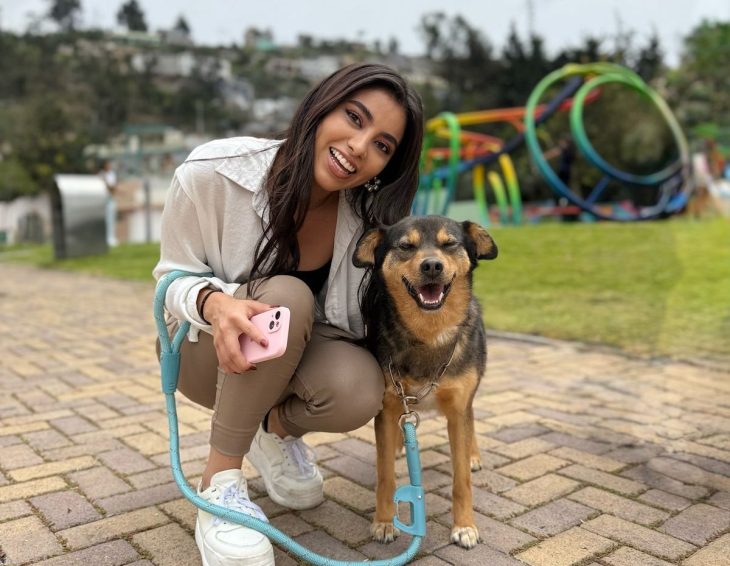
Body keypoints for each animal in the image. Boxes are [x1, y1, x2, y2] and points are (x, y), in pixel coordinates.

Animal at [353, 215, 498, 549]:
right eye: (406, 246)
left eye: (450, 244)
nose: (432, 265)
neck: (430, 334)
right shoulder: (389, 405)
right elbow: (385, 476)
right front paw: (384, 521)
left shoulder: (458, 407)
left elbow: (461, 479)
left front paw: (464, 526)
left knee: (472, 422)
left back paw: (473, 455)